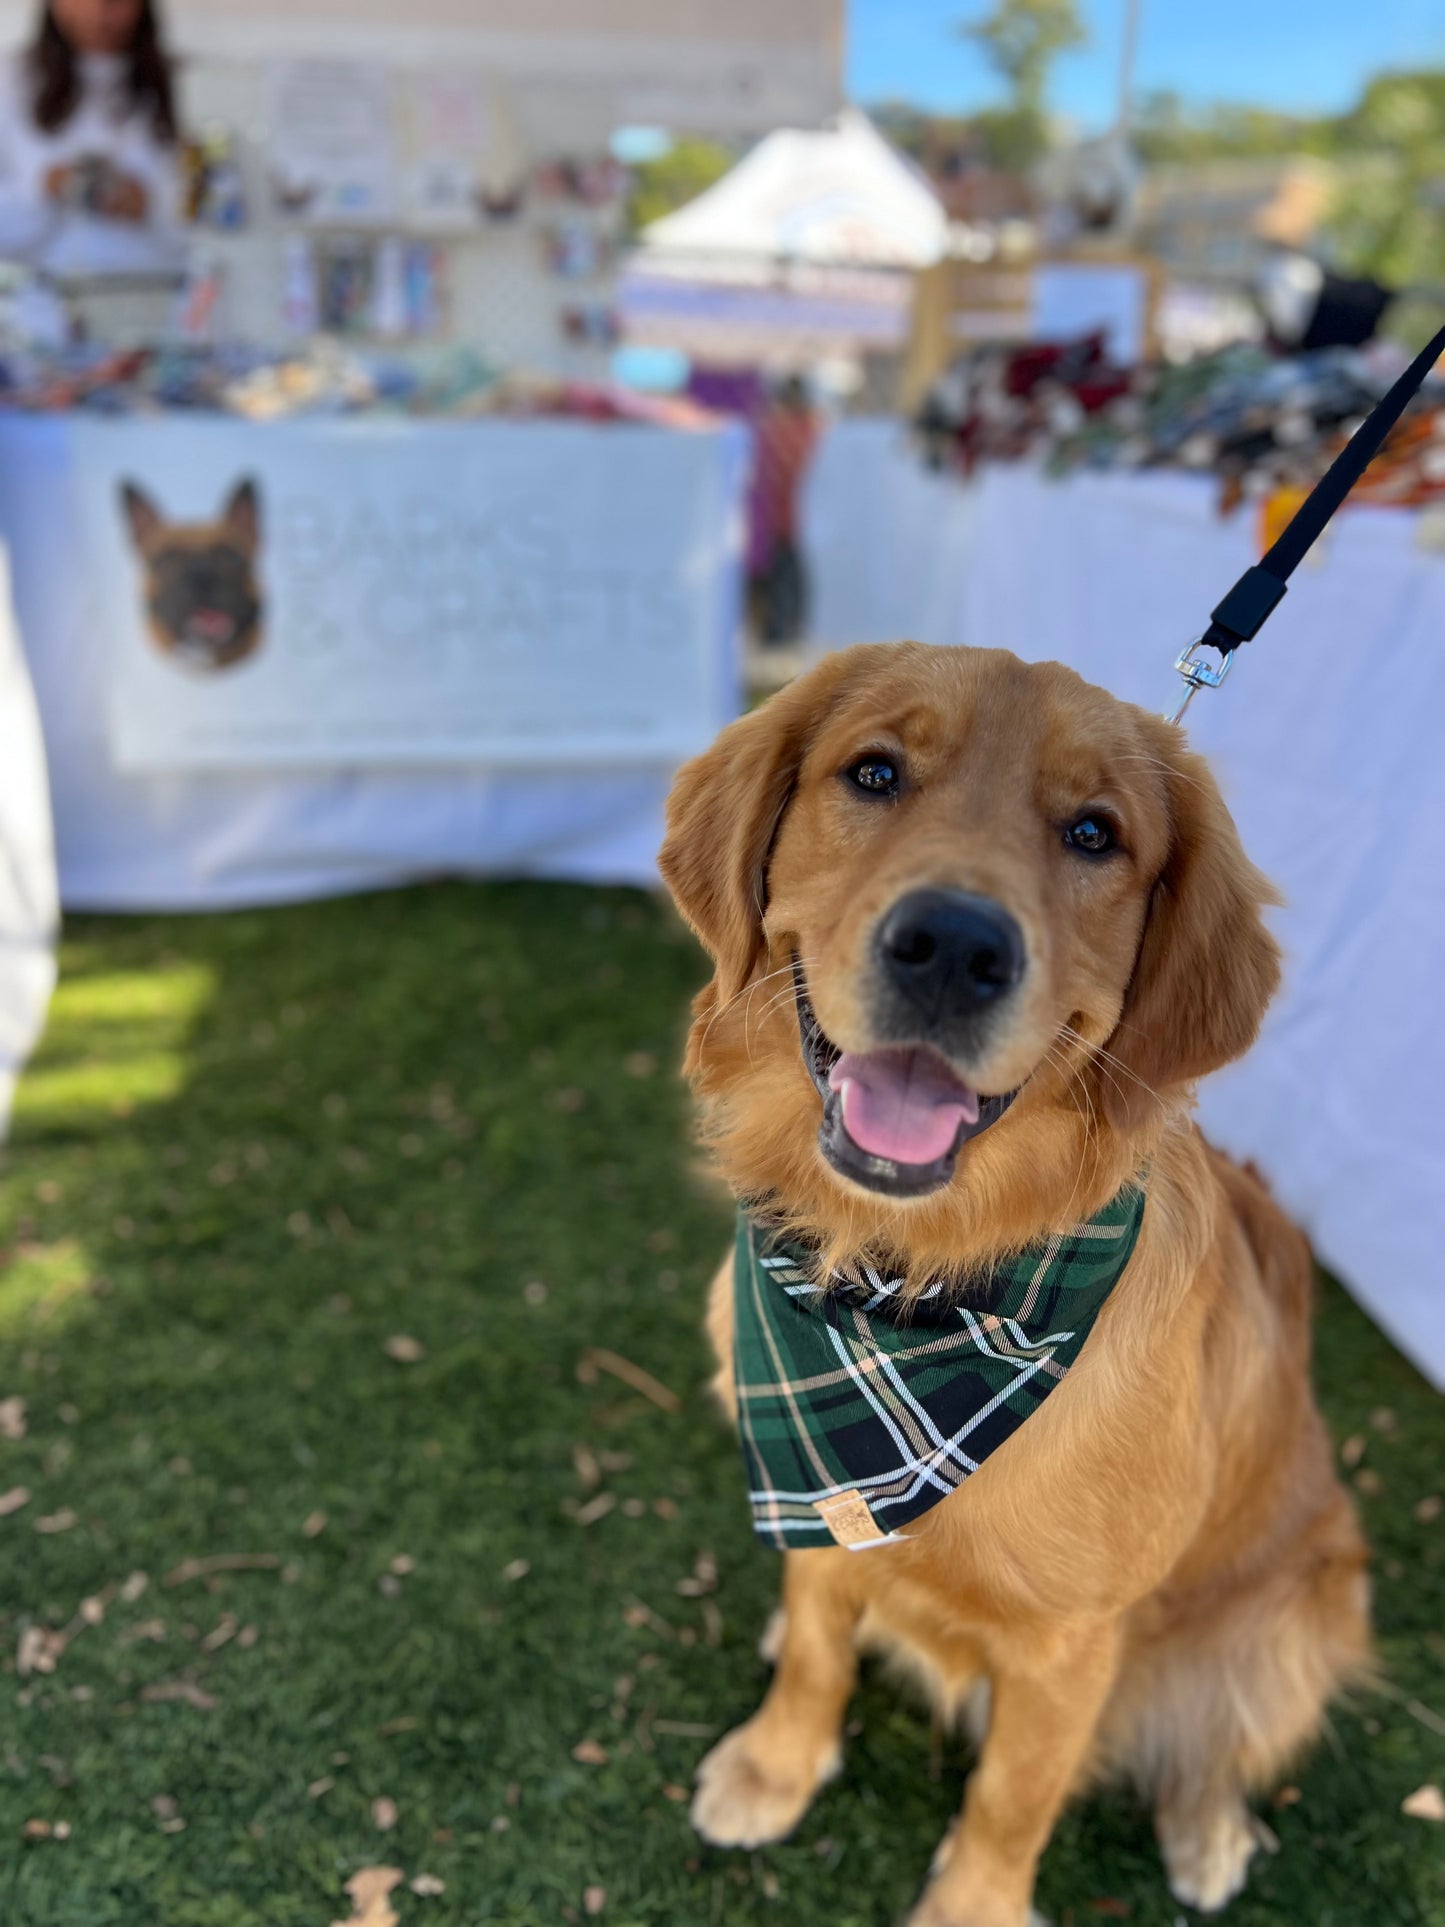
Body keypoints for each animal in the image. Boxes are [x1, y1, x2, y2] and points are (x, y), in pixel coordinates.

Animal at [662, 639, 1371, 1919]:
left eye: (1094, 834)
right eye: (873, 772)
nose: (951, 946)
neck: (901, 1290)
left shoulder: (1070, 1640)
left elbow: (1012, 1793)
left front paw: (971, 1906)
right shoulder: (822, 1508)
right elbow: (815, 1646)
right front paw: (776, 1764)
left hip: (1301, 1602)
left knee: (1224, 1730)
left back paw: (1206, 1829)